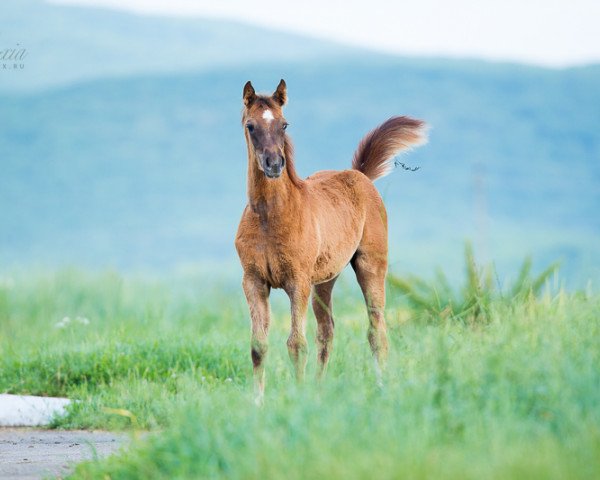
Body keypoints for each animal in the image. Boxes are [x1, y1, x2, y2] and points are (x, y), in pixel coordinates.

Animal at [234, 80, 426, 404]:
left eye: (284, 124)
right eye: (250, 126)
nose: (274, 164)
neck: (270, 217)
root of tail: (360, 175)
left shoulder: (297, 281)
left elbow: (296, 344)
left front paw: (298, 398)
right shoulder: (254, 281)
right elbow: (258, 346)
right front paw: (258, 403)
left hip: (370, 266)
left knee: (376, 330)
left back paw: (381, 388)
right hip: (324, 279)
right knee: (327, 331)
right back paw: (320, 390)